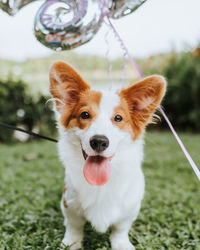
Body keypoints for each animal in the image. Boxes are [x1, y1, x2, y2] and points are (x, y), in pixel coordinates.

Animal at [49, 61, 166, 250]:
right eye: (85, 115)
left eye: (118, 118)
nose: (99, 141)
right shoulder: (69, 202)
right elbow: (74, 225)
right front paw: (71, 243)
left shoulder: (130, 208)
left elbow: (120, 228)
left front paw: (121, 244)